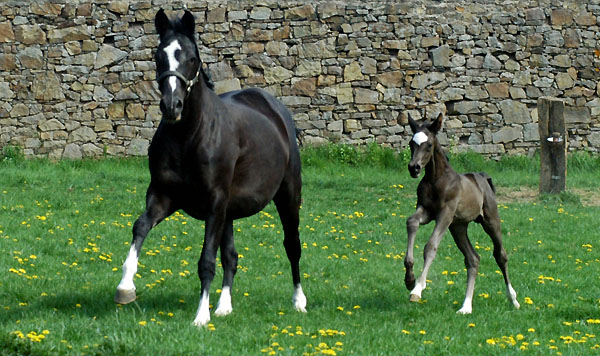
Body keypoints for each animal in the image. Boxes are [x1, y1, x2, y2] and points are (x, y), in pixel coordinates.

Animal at [404, 114, 520, 314]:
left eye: (429, 145)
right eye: (412, 143)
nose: (414, 168)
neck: (436, 180)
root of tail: (482, 177)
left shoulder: (445, 213)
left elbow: (431, 246)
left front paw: (418, 288)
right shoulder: (426, 210)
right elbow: (411, 222)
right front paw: (409, 280)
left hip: (490, 221)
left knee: (500, 255)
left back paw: (513, 299)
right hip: (458, 227)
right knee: (473, 259)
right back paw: (466, 307)